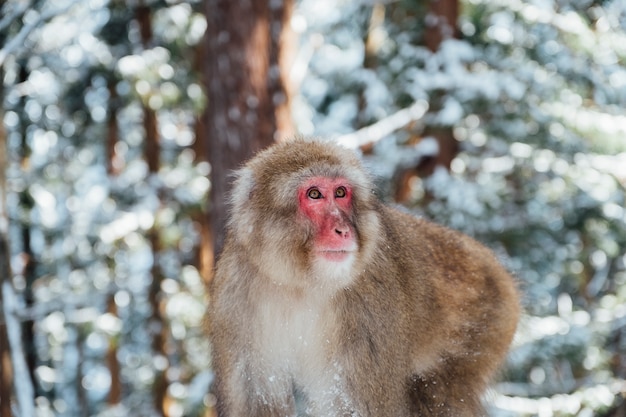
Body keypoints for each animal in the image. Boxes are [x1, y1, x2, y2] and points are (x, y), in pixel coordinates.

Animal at [207, 138, 520, 414]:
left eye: (341, 193)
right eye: (314, 194)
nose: (343, 230)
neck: (301, 284)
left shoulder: (370, 307)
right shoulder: (235, 299)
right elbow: (256, 399)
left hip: (485, 328)